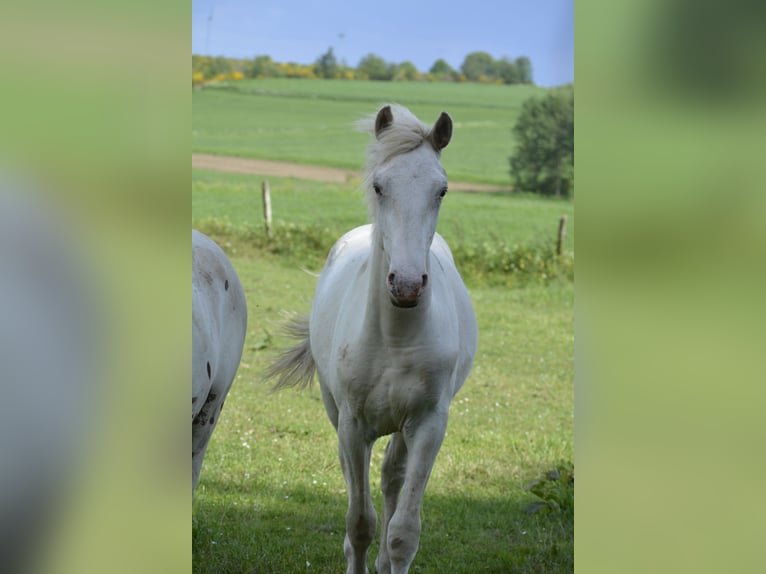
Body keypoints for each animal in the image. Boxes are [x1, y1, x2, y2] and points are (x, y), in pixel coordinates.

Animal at [268, 104, 476, 574]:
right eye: (380, 186)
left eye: (442, 190)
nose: (407, 285)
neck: (395, 340)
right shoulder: (353, 425)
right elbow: (359, 521)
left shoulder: (429, 424)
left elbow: (403, 531)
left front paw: (389, 556)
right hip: (338, 415)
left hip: (402, 428)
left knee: (391, 477)